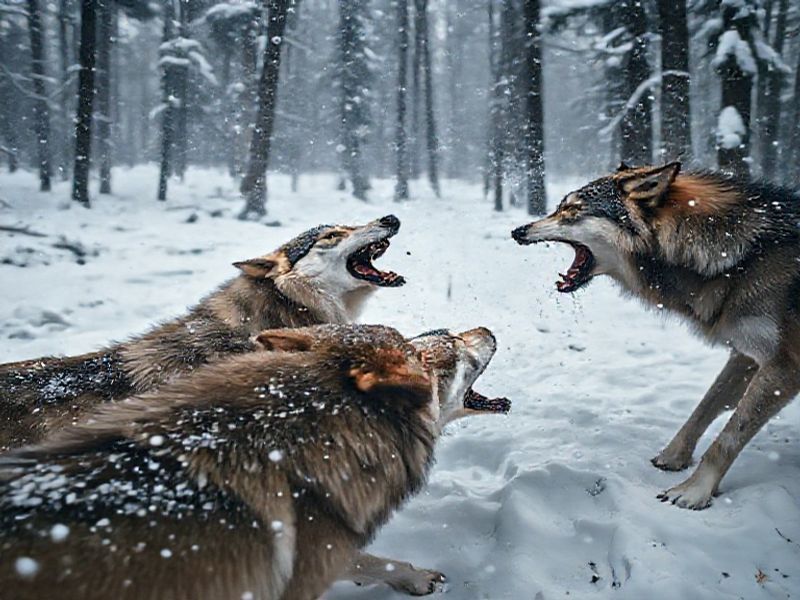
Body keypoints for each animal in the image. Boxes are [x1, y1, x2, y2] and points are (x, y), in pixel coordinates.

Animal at [0, 324, 509, 600]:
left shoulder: (316, 550)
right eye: (445, 351)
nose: (485, 329)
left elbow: (374, 562)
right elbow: (368, 561)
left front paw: (417, 579)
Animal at [512, 162, 800, 510]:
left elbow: (729, 435)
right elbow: (705, 407)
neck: (743, 258)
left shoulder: (783, 367)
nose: (518, 231)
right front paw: (673, 457)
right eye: (559, 206)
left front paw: (693, 491)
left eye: (573, 209)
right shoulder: (746, 355)